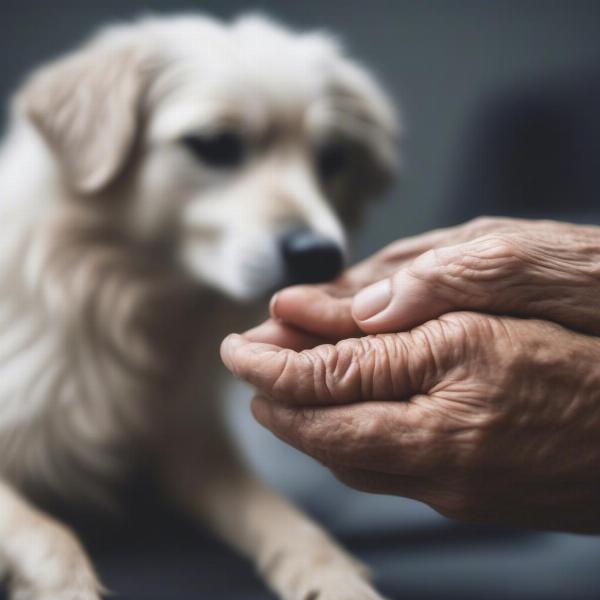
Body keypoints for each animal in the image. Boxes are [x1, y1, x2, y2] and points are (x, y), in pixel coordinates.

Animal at [0, 14, 398, 600]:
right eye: (214, 145)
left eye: (332, 159)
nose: (319, 255)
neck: (132, 303)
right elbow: (48, 534)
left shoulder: (191, 446)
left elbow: (287, 521)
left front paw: (334, 580)